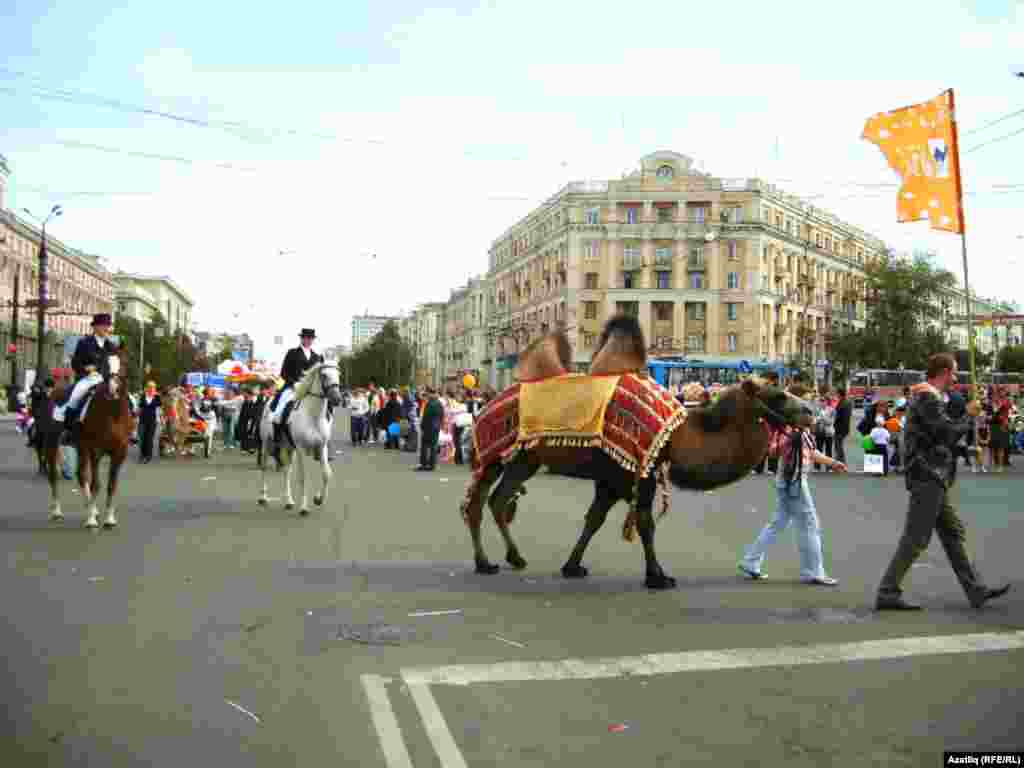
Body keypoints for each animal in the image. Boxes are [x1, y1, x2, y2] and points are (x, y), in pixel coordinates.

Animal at [43, 350, 135, 528]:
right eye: (104, 365)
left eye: (124, 364)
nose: (113, 390)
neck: (112, 414)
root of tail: (54, 392)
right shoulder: (95, 451)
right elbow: (95, 484)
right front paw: (91, 520)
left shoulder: (119, 453)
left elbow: (112, 485)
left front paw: (109, 518)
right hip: (53, 446)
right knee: (54, 475)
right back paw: (57, 511)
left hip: (81, 448)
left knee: (81, 475)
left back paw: (92, 509)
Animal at [257, 363, 342, 515]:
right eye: (324, 375)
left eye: (338, 374)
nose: (337, 399)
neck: (313, 416)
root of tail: (268, 403)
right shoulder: (301, 450)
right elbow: (304, 477)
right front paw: (304, 507)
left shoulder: (322, 447)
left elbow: (326, 474)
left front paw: (319, 499)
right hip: (267, 444)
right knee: (264, 467)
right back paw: (263, 498)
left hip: (288, 447)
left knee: (286, 471)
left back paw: (289, 501)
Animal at [460, 314, 808, 589]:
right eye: (778, 395)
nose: (810, 412)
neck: (679, 434)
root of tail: (485, 406)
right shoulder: (636, 471)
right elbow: (644, 523)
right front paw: (658, 577)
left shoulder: (613, 477)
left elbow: (594, 519)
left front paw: (573, 566)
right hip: (496, 455)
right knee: (480, 501)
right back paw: (486, 562)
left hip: (524, 459)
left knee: (496, 499)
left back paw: (510, 558)